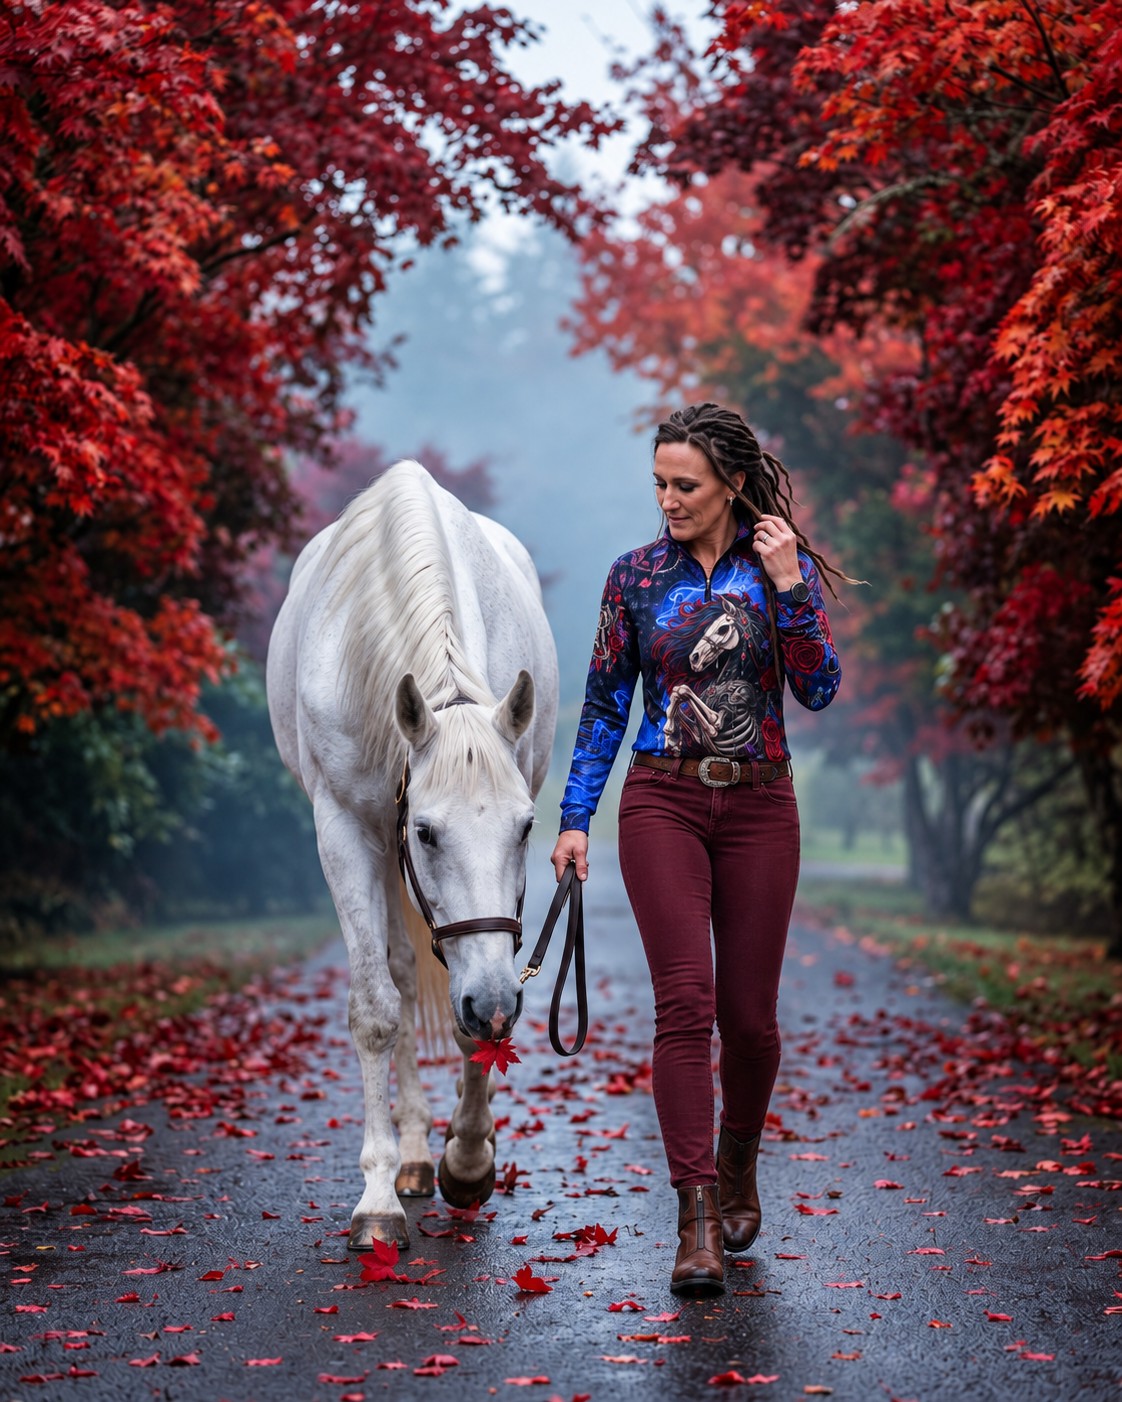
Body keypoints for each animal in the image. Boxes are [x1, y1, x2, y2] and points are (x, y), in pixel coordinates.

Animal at [266, 460, 558, 1248]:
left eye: (527, 829)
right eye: (426, 832)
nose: (497, 1000)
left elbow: (467, 1020)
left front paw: (469, 1159)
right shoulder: (345, 829)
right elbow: (377, 1008)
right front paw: (377, 1199)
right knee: (398, 971)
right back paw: (413, 1157)